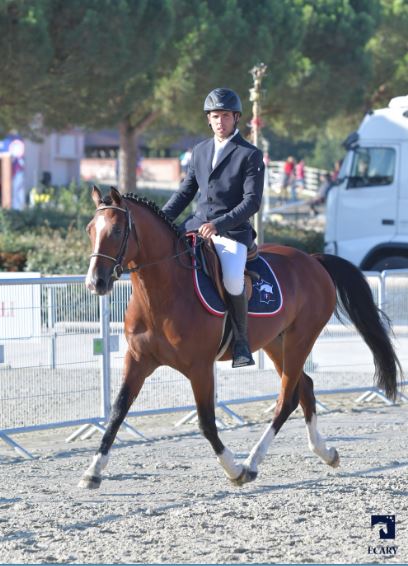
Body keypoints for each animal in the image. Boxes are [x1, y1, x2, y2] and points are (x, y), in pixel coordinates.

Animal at [79, 185, 402, 488]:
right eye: (90, 230)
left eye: (117, 230)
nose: (96, 282)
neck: (163, 293)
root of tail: (313, 260)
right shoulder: (138, 360)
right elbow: (117, 412)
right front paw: (93, 471)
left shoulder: (200, 368)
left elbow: (207, 422)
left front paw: (234, 470)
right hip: (276, 343)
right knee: (306, 388)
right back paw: (325, 452)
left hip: (300, 339)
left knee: (287, 399)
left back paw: (253, 462)